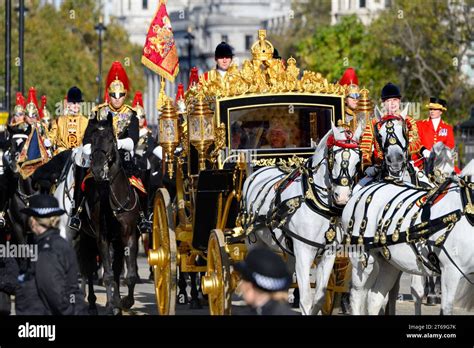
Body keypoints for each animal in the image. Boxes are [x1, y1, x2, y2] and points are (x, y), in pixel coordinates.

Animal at [82, 115, 140, 316]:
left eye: (110, 139)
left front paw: (125, 302)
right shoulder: (102, 237)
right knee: (88, 267)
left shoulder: (129, 235)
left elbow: (128, 275)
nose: (98, 169)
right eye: (92, 140)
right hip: (86, 238)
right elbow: (107, 275)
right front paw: (112, 305)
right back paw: (93, 303)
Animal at [243, 123, 362, 316]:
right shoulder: (304, 251)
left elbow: (319, 298)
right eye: (333, 158)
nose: (343, 196)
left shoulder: (328, 254)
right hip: (253, 242)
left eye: (358, 161)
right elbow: (306, 298)